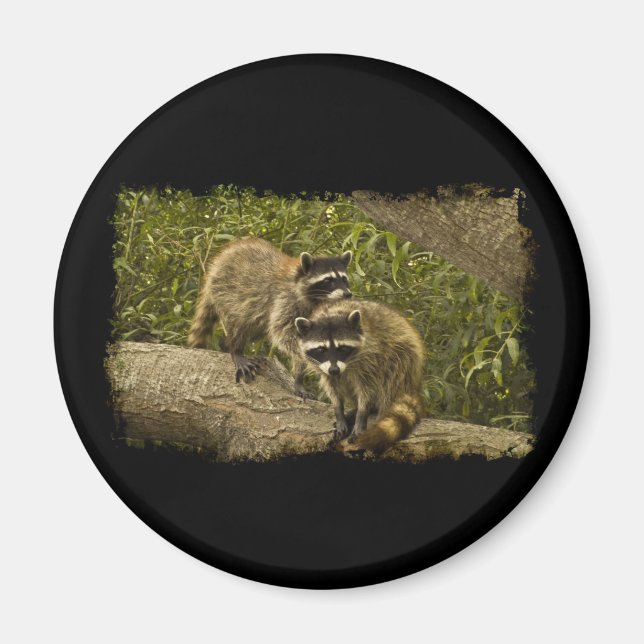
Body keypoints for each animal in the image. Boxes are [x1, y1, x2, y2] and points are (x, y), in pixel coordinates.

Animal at [187, 238, 352, 397]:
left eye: (344, 279)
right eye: (328, 280)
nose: (347, 294)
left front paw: (299, 378)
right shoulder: (284, 299)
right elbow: (283, 333)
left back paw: (225, 344)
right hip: (227, 291)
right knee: (239, 322)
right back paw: (235, 349)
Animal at [294, 300, 426, 452]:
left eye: (342, 348)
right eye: (321, 349)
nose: (334, 370)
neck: (331, 314)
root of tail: (414, 384)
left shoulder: (371, 357)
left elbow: (367, 389)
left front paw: (362, 414)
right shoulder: (324, 368)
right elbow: (332, 387)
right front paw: (339, 410)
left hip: (404, 357)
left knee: (392, 376)